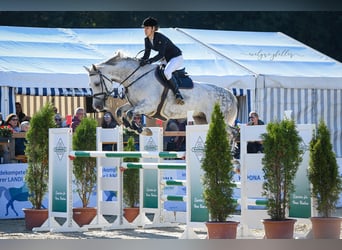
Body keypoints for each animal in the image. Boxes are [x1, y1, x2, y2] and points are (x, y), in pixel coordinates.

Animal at [85, 49, 238, 134]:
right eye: (90, 85)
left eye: (97, 83)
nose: (97, 107)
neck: (136, 77)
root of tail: (230, 94)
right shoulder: (136, 104)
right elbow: (120, 111)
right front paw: (133, 128)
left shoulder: (148, 106)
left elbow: (129, 114)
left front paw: (142, 130)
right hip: (202, 119)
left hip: (217, 118)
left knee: (233, 133)